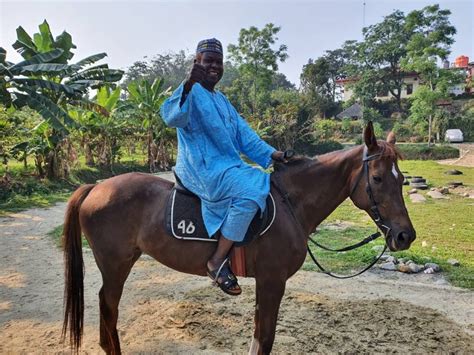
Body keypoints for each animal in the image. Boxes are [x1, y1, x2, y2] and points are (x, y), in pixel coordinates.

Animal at [62, 121, 414, 354]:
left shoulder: (268, 284)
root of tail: (96, 187)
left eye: (402, 180)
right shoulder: (271, 281)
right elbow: (264, 338)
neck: (290, 203)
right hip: (115, 265)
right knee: (108, 308)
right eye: (378, 178)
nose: (404, 235)